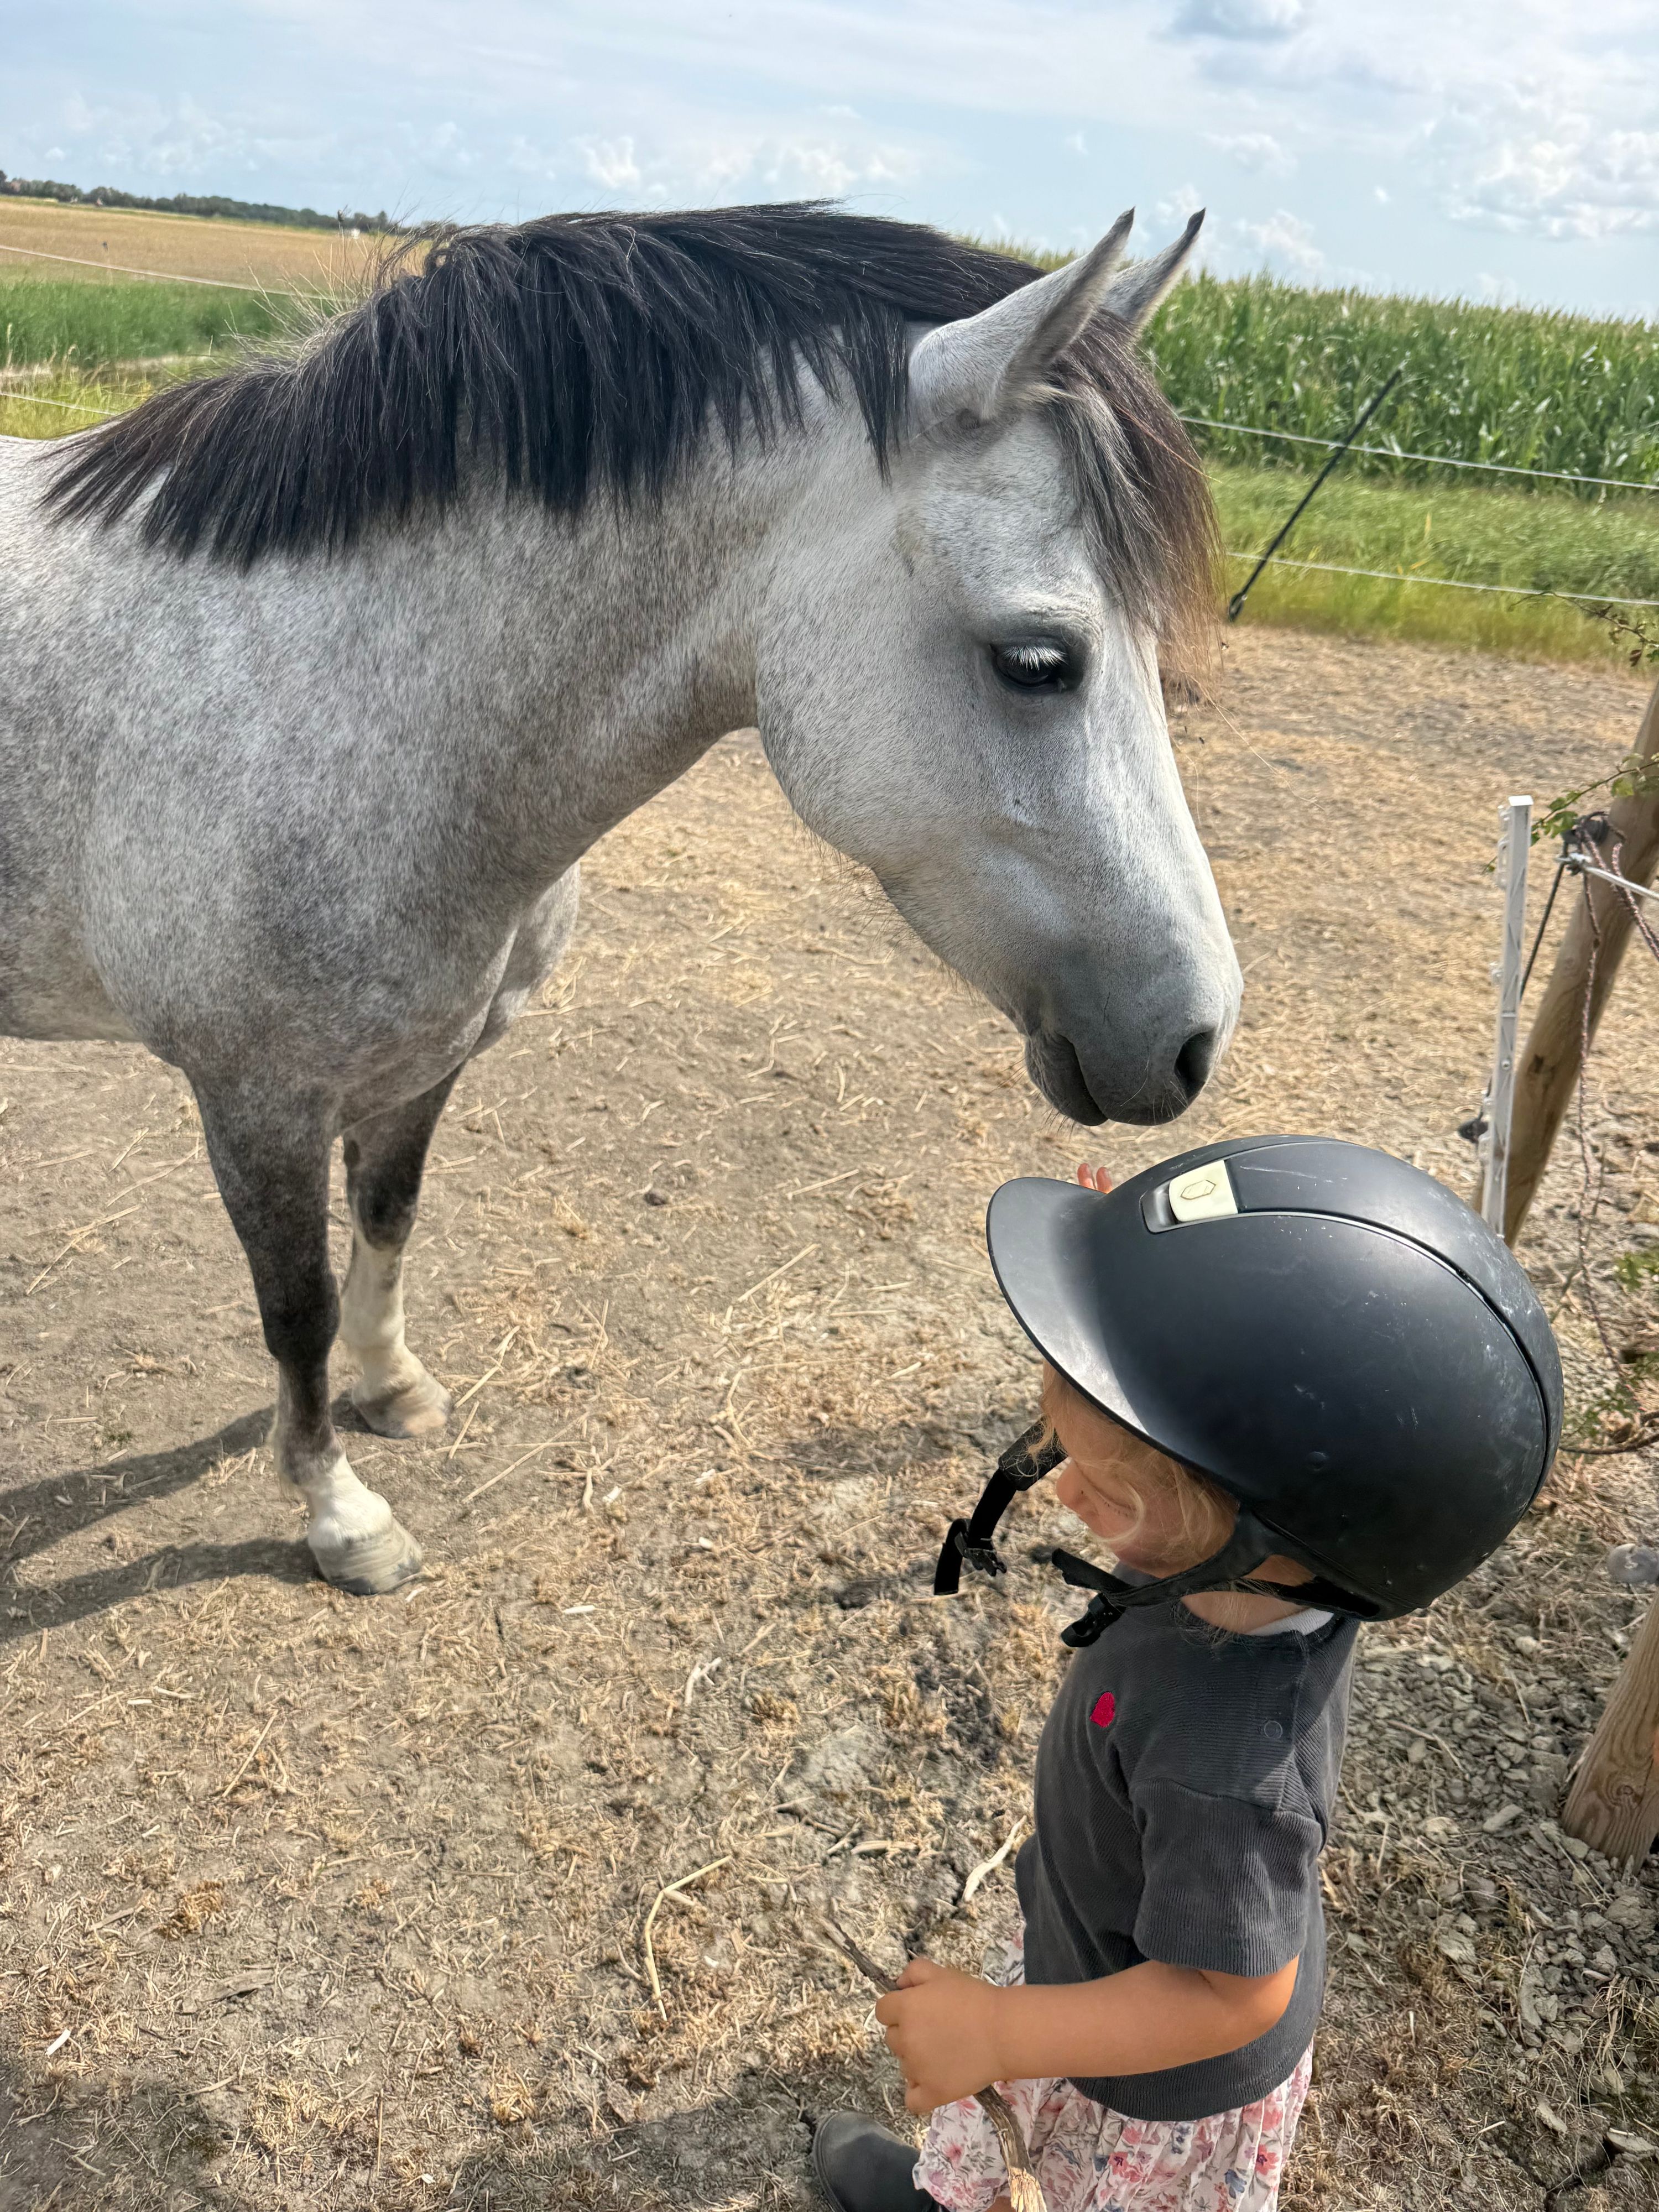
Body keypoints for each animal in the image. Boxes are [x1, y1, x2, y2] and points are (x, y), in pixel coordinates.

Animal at [0, 202, 1241, 1597]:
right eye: (1037, 661)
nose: (1194, 1035)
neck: (333, 695)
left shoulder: (426, 1063)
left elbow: (388, 1217)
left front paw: (394, 1386)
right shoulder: (256, 1101)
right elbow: (296, 1310)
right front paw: (339, 1511)